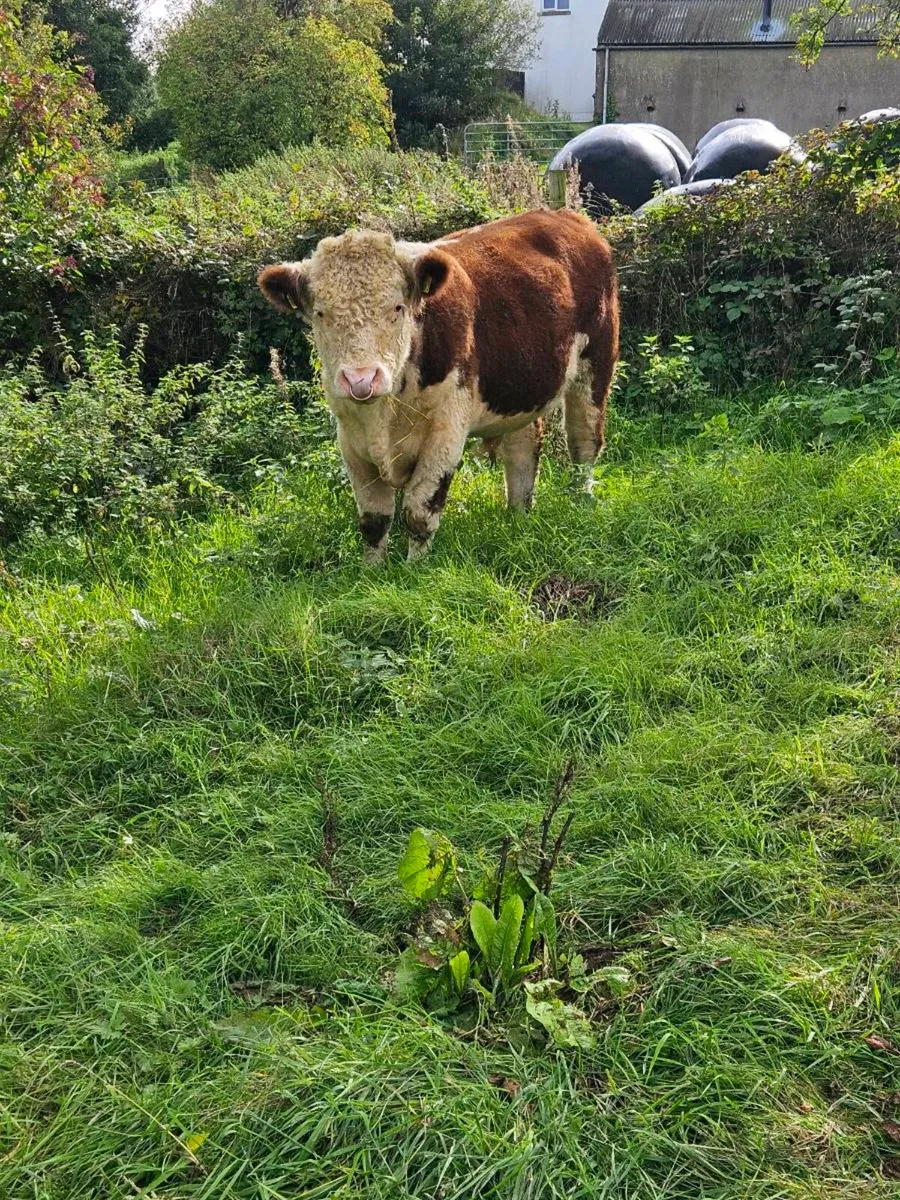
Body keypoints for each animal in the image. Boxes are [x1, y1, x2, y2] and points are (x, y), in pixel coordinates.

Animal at [258, 208, 618, 563]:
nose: (361, 379)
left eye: (397, 307)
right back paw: (519, 515)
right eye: (321, 313)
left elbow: (419, 512)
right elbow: (374, 520)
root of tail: (566, 216)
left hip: (596, 363)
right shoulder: (350, 439)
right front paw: (372, 570)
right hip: (522, 389)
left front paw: (414, 569)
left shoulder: (445, 431)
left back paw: (580, 501)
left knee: (584, 442)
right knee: (523, 448)